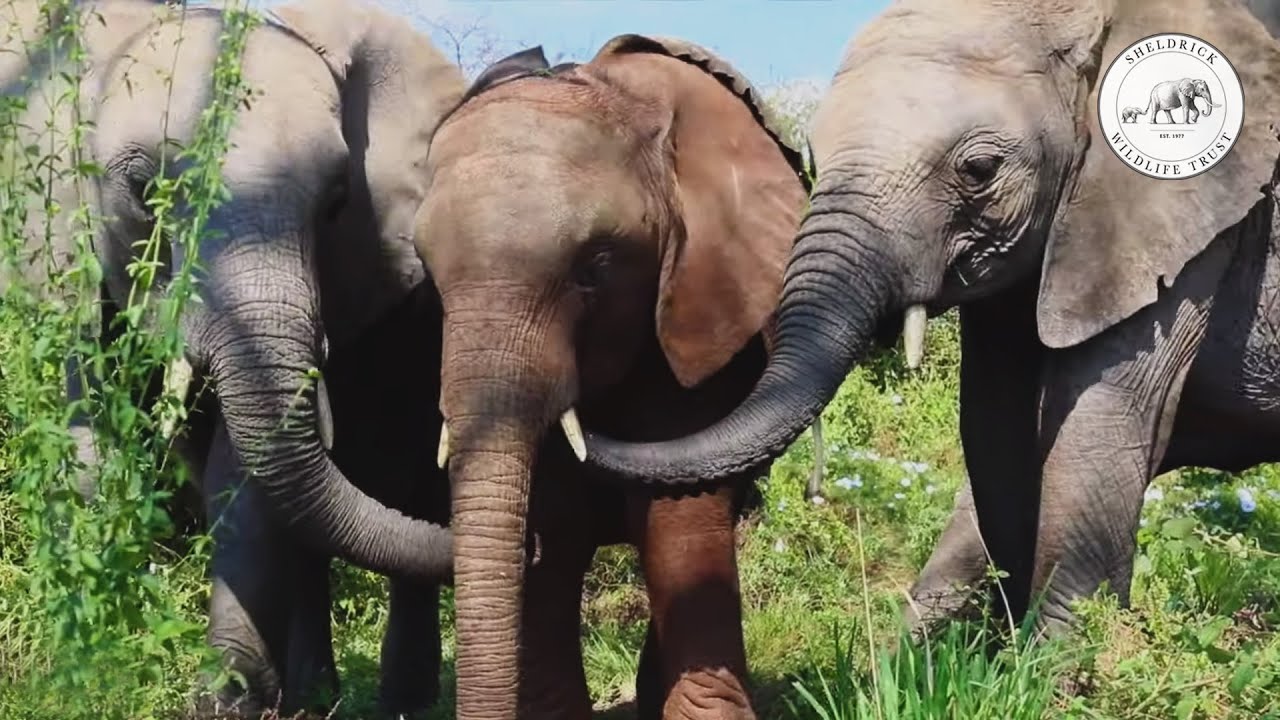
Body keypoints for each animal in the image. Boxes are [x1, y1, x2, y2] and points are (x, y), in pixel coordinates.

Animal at [3, 0, 462, 715]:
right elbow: (86, 443)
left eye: (337, 204)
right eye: (144, 191)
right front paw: (95, 666)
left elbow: (238, 473)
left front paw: (228, 698)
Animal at [577, 0, 1280, 639]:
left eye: (980, 169)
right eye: (812, 160)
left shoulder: (1177, 217)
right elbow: (996, 424)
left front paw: (1056, 674)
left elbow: (1099, 422)